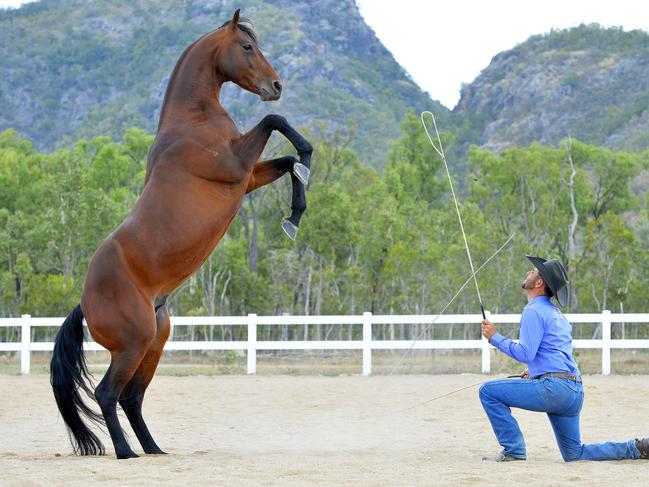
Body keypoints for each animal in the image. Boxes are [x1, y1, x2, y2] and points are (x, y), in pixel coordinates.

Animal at [50, 11, 312, 462]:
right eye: (247, 47)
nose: (276, 86)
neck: (192, 120)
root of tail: (84, 301)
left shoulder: (246, 178)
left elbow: (287, 162)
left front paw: (294, 215)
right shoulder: (234, 165)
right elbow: (276, 126)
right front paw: (308, 158)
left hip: (155, 341)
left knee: (131, 397)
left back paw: (154, 449)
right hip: (133, 344)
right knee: (107, 393)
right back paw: (126, 452)